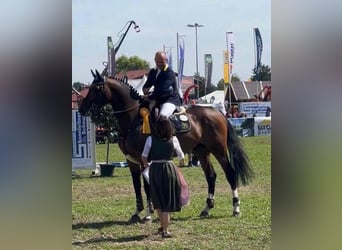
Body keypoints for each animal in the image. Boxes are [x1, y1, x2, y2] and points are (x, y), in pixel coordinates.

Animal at [78, 70, 254, 221]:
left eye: (97, 88)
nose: (81, 109)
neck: (135, 118)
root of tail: (218, 113)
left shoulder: (144, 159)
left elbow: (146, 185)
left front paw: (148, 214)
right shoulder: (131, 160)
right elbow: (136, 186)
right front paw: (137, 212)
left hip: (219, 150)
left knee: (230, 174)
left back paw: (236, 208)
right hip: (202, 152)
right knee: (211, 176)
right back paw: (206, 209)